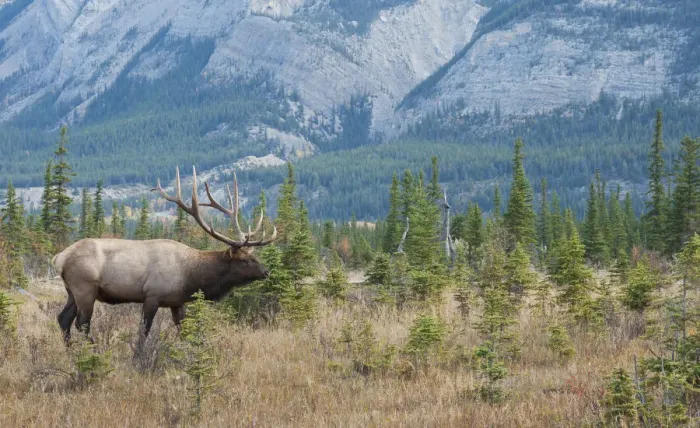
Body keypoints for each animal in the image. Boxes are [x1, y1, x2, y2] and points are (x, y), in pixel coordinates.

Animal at [51, 166, 277, 342]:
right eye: (246, 260)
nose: (266, 271)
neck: (191, 277)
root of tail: (58, 258)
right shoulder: (152, 295)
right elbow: (143, 333)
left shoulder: (177, 302)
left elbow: (184, 333)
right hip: (85, 288)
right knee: (82, 324)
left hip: (71, 291)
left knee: (63, 319)